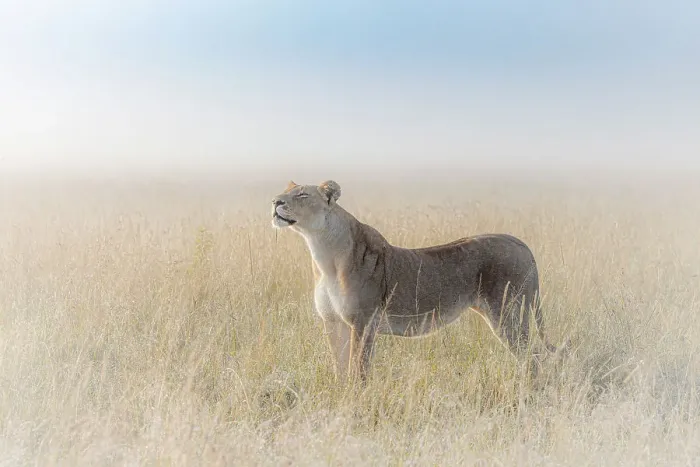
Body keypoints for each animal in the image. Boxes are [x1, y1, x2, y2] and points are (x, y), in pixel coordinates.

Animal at [271, 180, 565, 381]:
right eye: (286, 191)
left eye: (302, 194)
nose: (275, 202)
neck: (323, 255)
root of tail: (520, 242)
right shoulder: (333, 322)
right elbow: (340, 367)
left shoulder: (364, 323)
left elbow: (359, 369)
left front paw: (356, 399)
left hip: (507, 313)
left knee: (533, 356)